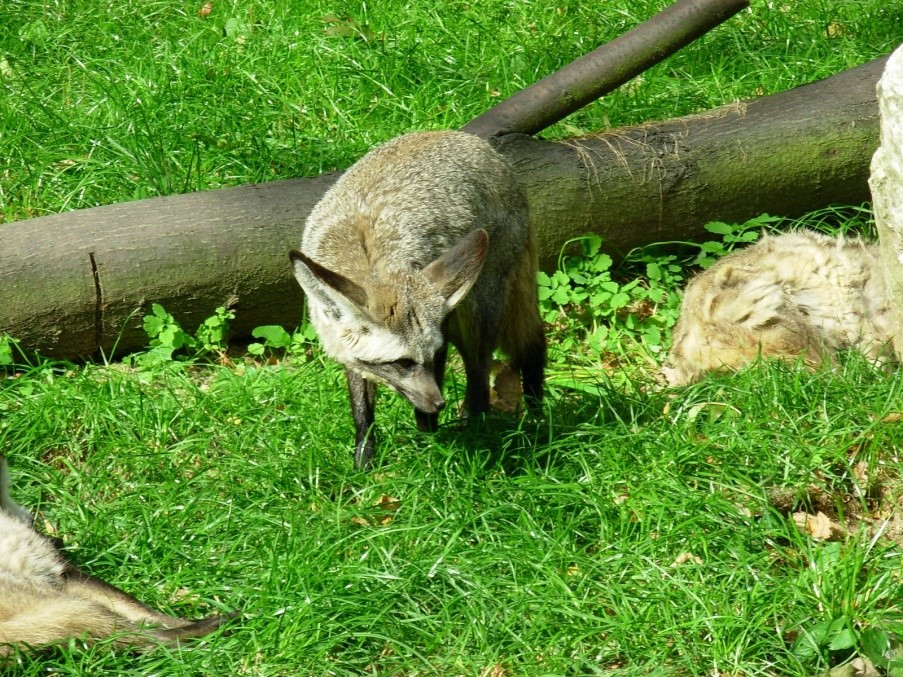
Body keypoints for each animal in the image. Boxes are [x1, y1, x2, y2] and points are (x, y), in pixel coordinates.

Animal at [0, 455, 235, 657]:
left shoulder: (59, 572)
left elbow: (143, 609)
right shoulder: (54, 573)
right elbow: (143, 612)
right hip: (69, 608)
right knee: (148, 639)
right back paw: (222, 628)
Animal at [290, 130, 546, 468]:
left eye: (433, 355)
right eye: (403, 362)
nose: (439, 403)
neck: (369, 257)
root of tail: (477, 142)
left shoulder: (442, 328)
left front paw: (429, 443)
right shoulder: (346, 348)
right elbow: (362, 410)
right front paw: (364, 461)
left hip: (475, 313)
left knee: (482, 372)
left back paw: (478, 425)